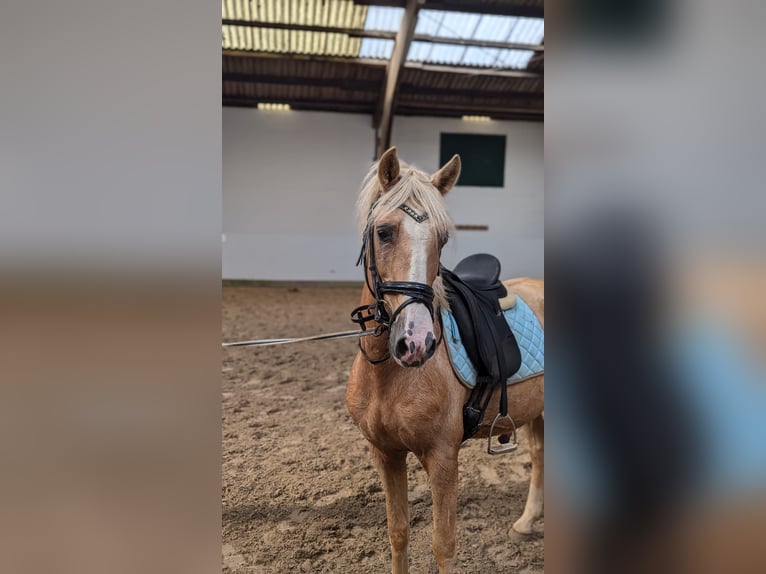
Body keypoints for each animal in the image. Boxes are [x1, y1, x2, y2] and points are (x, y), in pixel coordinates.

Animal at [348, 148, 544, 574]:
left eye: (442, 238)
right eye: (383, 232)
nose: (416, 341)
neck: (387, 375)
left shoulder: (442, 458)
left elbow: (443, 544)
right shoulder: (385, 454)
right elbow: (398, 533)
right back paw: (525, 523)